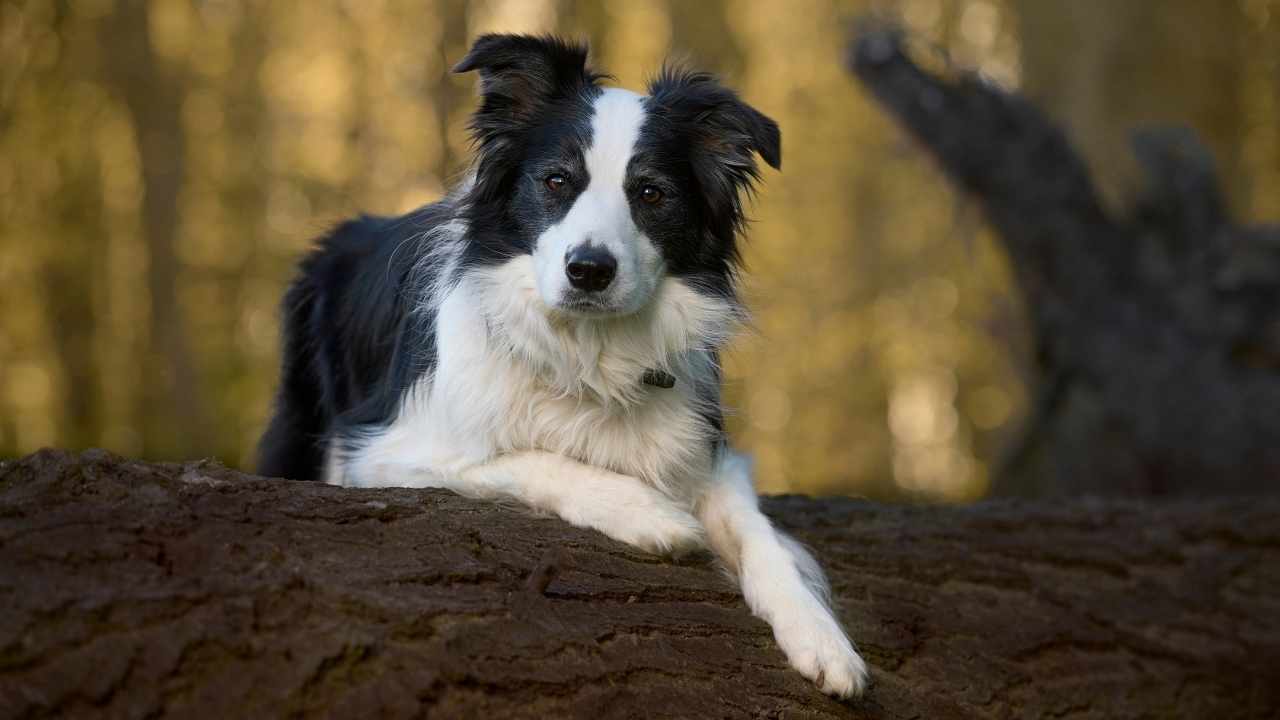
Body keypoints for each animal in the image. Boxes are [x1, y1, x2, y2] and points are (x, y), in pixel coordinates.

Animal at [254, 33, 865, 696]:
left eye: (651, 193)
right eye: (556, 181)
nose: (589, 270)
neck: (589, 349)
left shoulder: (709, 453)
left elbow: (763, 540)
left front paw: (824, 640)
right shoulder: (386, 450)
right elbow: (531, 460)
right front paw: (652, 514)